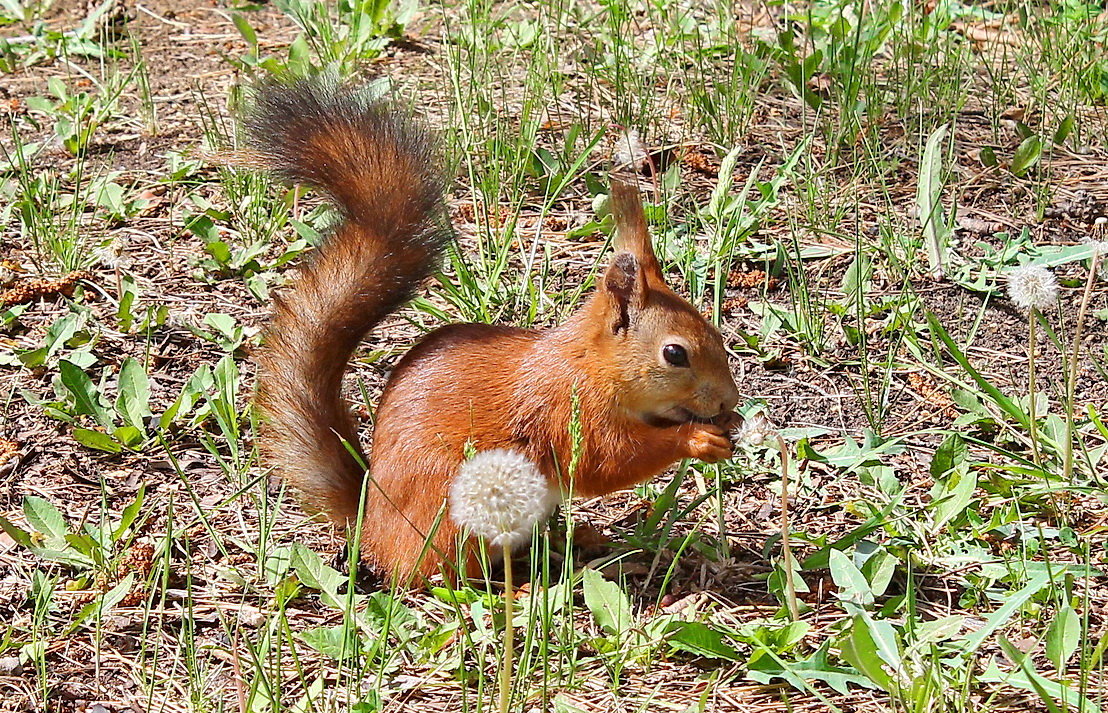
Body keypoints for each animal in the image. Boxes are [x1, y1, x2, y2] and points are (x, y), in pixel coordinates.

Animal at [247, 76, 740, 584]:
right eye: (675, 354)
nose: (729, 400)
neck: (590, 365)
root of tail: (374, 530)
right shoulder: (568, 411)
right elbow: (606, 463)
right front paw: (696, 440)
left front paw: (730, 424)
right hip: (456, 512)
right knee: (448, 575)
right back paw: (514, 587)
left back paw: (573, 541)